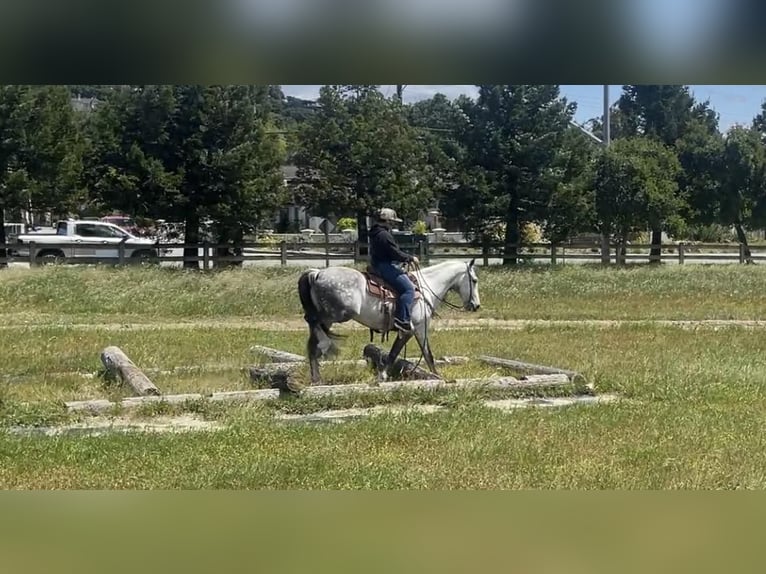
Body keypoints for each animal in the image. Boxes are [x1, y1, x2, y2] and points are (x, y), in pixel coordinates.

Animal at [298, 260, 484, 388]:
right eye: (474, 280)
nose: (476, 306)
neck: (426, 288)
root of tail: (317, 273)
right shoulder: (412, 329)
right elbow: (398, 354)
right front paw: (382, 377)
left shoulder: (416, 330)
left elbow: (424, 355)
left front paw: (438, 377)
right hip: (337, 315)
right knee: (312, 322)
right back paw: (325, 346)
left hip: (330, 320)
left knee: (312, 345)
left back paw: (317, 379)